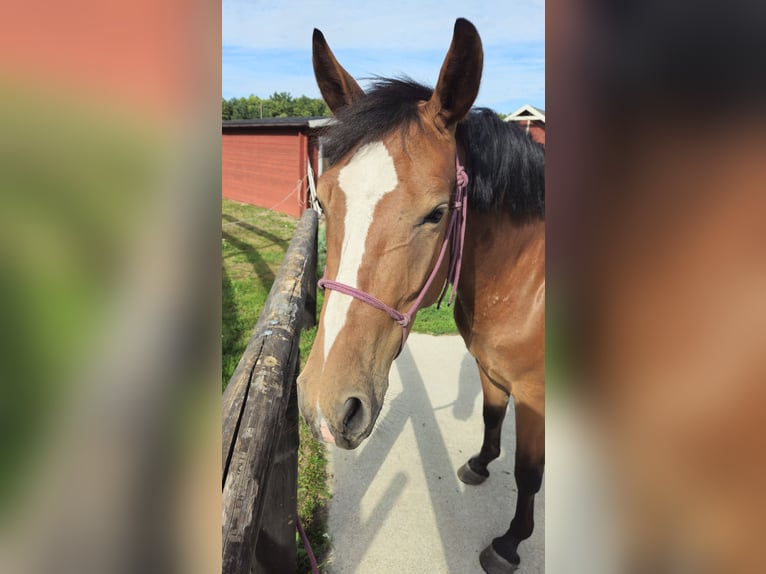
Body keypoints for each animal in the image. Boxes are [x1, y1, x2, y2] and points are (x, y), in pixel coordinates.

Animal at [296, 18, 545, 573]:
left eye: (436, 213)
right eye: (324, 201)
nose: (326, 405)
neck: (524, 283)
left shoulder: (535, 395)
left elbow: (529, 474)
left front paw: (509, 543)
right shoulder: (489, 369)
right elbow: (491, 416)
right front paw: (479, 464)